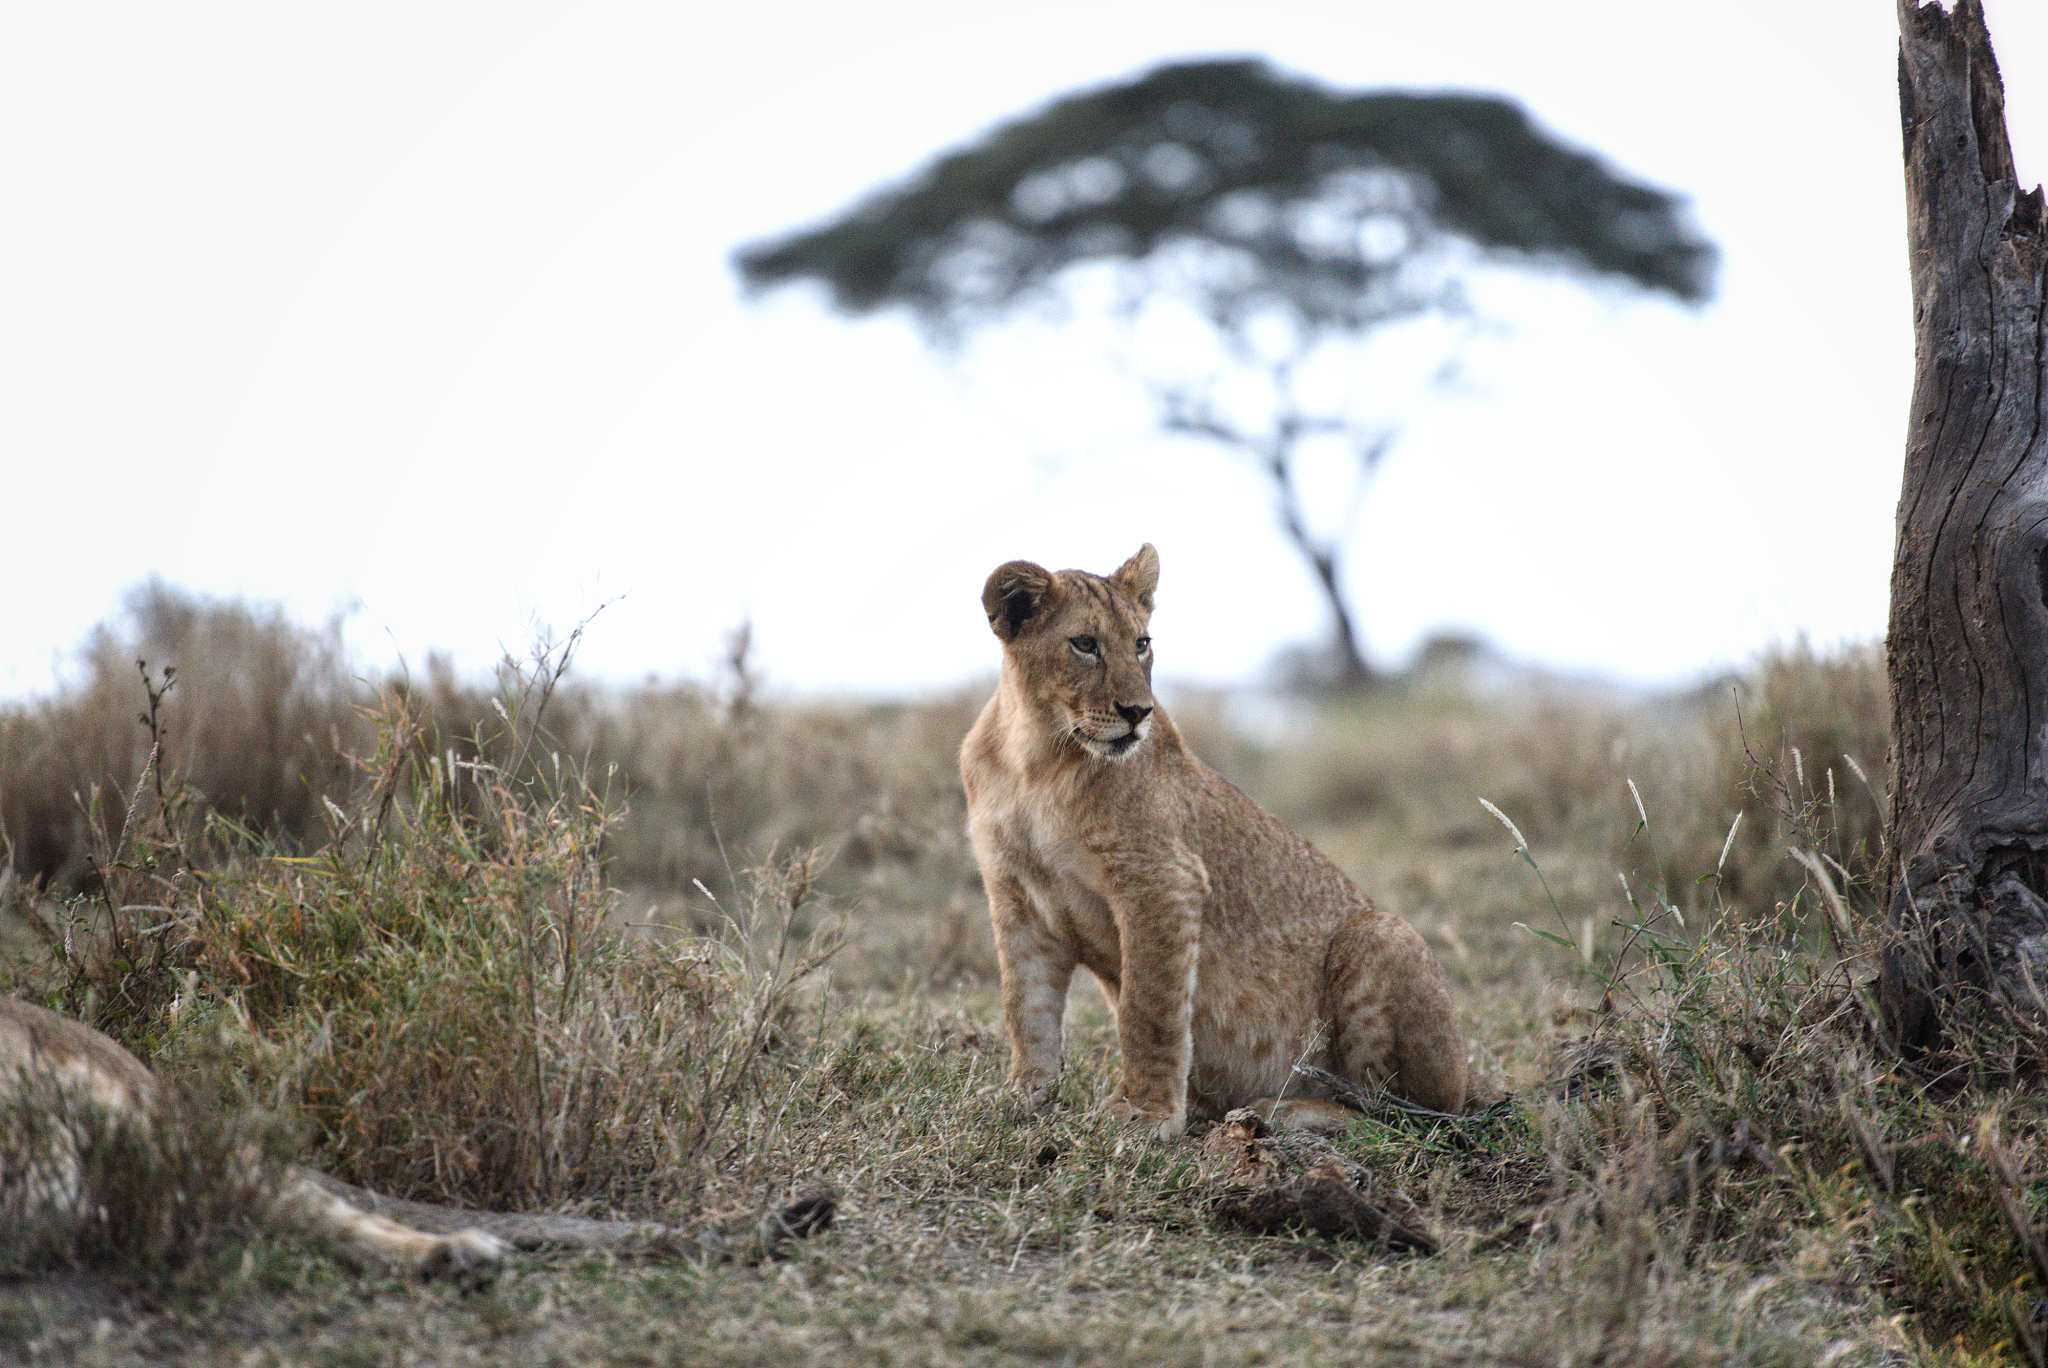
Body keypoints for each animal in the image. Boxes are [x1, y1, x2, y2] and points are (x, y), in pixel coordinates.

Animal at [960, 544, 1468, 1140]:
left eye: (1141, 643)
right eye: (1084, 644)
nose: (1138, 713)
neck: (1035, 757)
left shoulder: (1163, 879)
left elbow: (1149, 1010)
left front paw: (1146, 1117)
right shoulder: (1015, 896)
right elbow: (1026, 1009)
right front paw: (1021, 1099)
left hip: (1381, 934)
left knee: (1405, 1113)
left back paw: (1278, 1111)